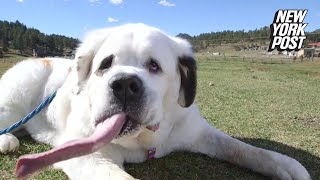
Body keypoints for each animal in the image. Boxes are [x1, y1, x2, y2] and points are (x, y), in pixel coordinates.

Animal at [0, 23, 312, 180]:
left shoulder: (199, 132)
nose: (125, 84)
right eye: (105, 65)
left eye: (154, 66)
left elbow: (245, 149)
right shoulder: (86, 154)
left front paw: (289, 167)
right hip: (14, 97)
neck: (145, 140)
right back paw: (8, 140)